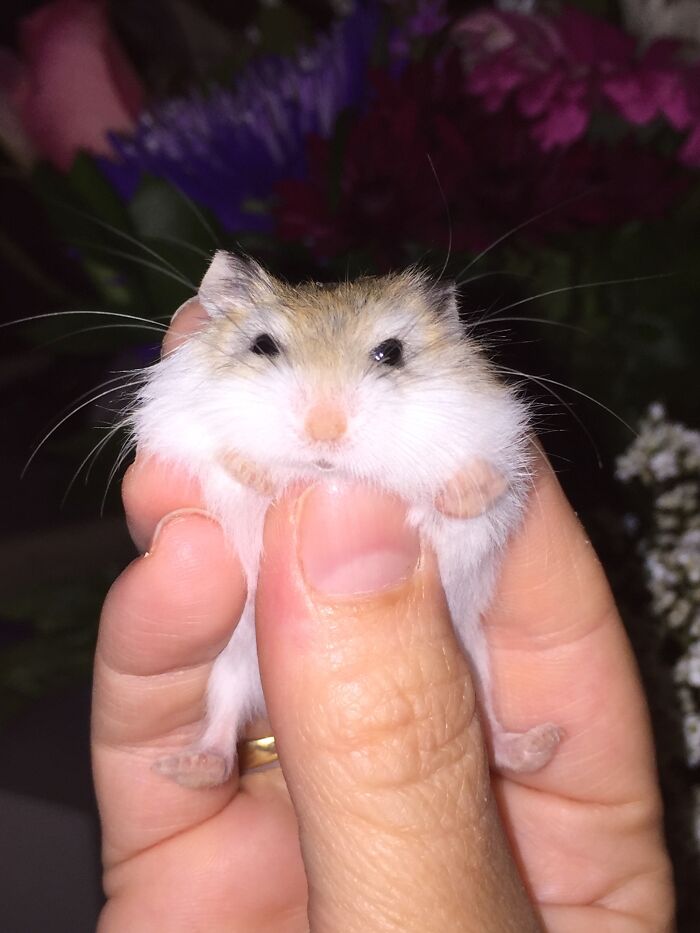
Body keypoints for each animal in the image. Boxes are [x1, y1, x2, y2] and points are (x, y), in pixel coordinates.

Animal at [131, 251, 561, 788]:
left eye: (391, 353)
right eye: (263, 345)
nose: (325, 430)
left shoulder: (497, 434)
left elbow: (483, 487)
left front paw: (461, 491)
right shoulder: (175, 429)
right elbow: (219, 461)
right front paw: (255, 471)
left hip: (476, 655)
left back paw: (540, 745)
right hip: (231, 661)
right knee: (223, 718)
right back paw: (187, 768)